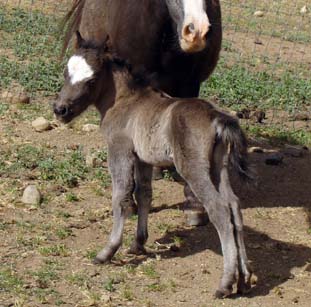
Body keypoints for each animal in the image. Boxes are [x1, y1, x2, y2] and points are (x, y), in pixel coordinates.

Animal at [53, 35, 254, 300]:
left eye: (92, 80)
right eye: (66, 73)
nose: (60, 110)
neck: (125, 100)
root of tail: (216, 117)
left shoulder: (120, 150)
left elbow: (121, 198)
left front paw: (107, 251)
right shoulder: (143, 159)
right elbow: (144, 194)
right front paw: (138, 244)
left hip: (193, 169)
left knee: (219, 210)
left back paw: (225, 283)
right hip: (217, 168)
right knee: (233, 206)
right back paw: (244, 279)